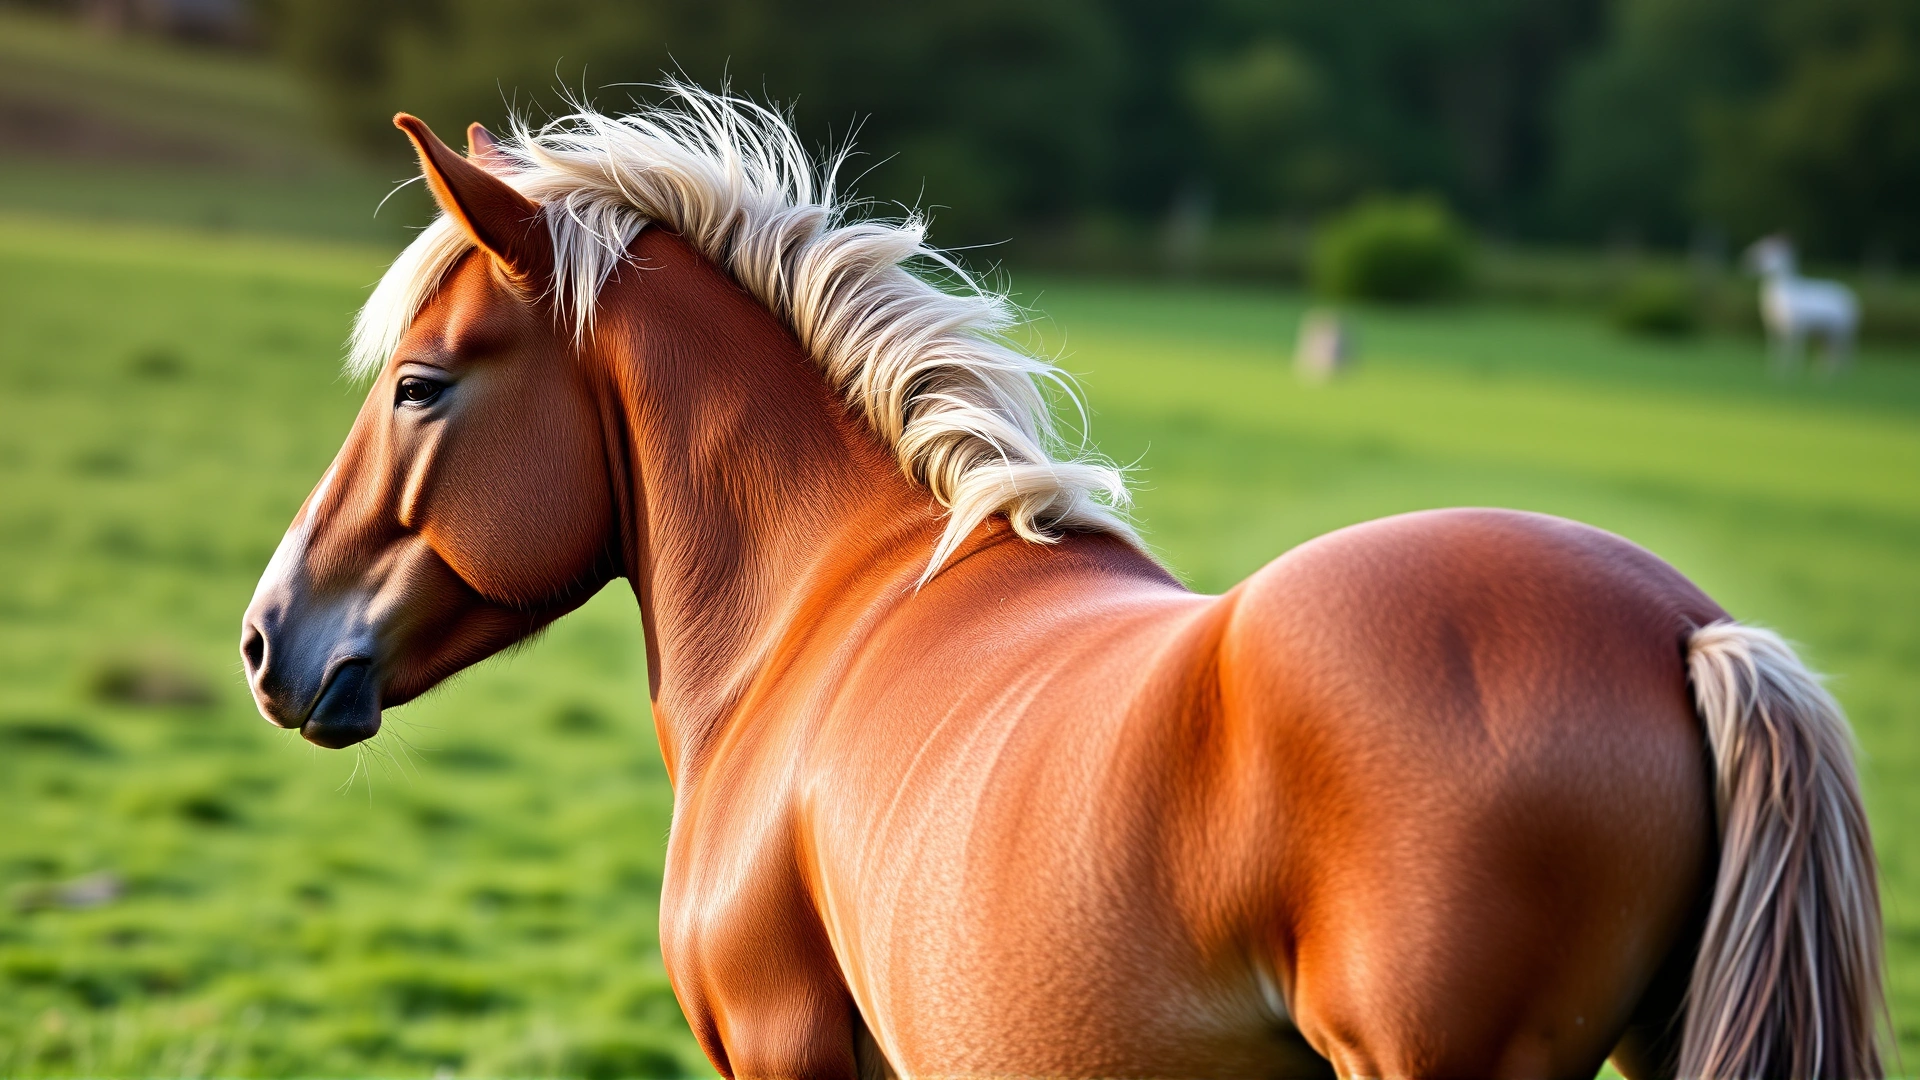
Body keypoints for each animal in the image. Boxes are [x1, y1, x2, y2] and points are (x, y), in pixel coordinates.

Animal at [1745, 236, 1860, 374]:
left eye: (1769, 251)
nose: (1747, 261)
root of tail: (1851, 297)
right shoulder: (1773, 328)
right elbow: (1776, 348)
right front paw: (1775, 370)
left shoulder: (1798, 328)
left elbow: (1793, 349)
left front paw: (1791, 371)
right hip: (1826, 335)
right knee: (1829, 354)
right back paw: (1822, 372)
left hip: (1843, 332)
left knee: (1844, 353)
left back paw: (1839, 374)